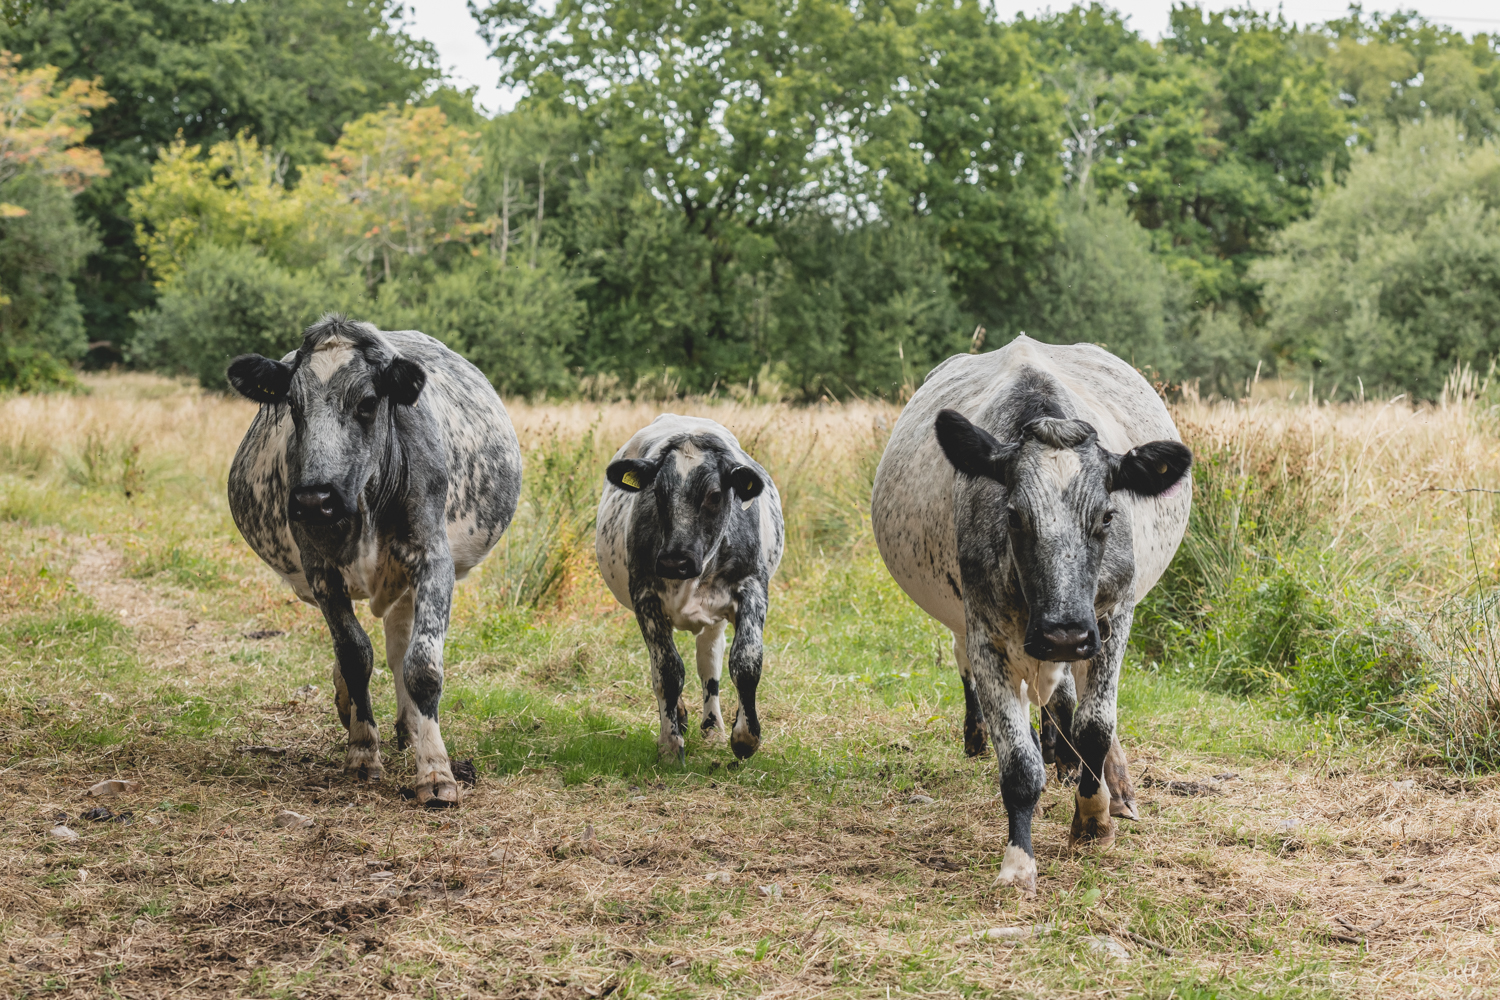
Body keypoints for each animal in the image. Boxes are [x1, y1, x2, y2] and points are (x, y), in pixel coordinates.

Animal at [225, 315, 522, 808]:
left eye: (366, 403)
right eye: (293, 406)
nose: (314, 499)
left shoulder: (433, 560)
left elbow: (422, 665)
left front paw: (435, 769)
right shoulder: (320, 570)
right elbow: (353, 653)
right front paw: (363, 749)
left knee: (400, 642)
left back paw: (411, 725)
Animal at [595, 415, 784, 764]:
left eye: (715, 495)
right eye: (657, 492)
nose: (674, 562)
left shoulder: (752, 589)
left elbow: (746, 662)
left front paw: (745, 736)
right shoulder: (646, 598)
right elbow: (667, 672)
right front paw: (670, 745)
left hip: (714, 620)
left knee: (709, 662)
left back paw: (713, 727)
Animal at [870, 335, 1191, 893]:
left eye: (1107, 515)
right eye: (1014, 515)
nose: (1063, 633)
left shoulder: (1111, 618)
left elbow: (1095, 725)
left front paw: (1093, 818)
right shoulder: (986, 634)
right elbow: (1019, 764)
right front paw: (1018, 861)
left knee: (1072, 699)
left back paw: (1106, 780)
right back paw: (990, 738)